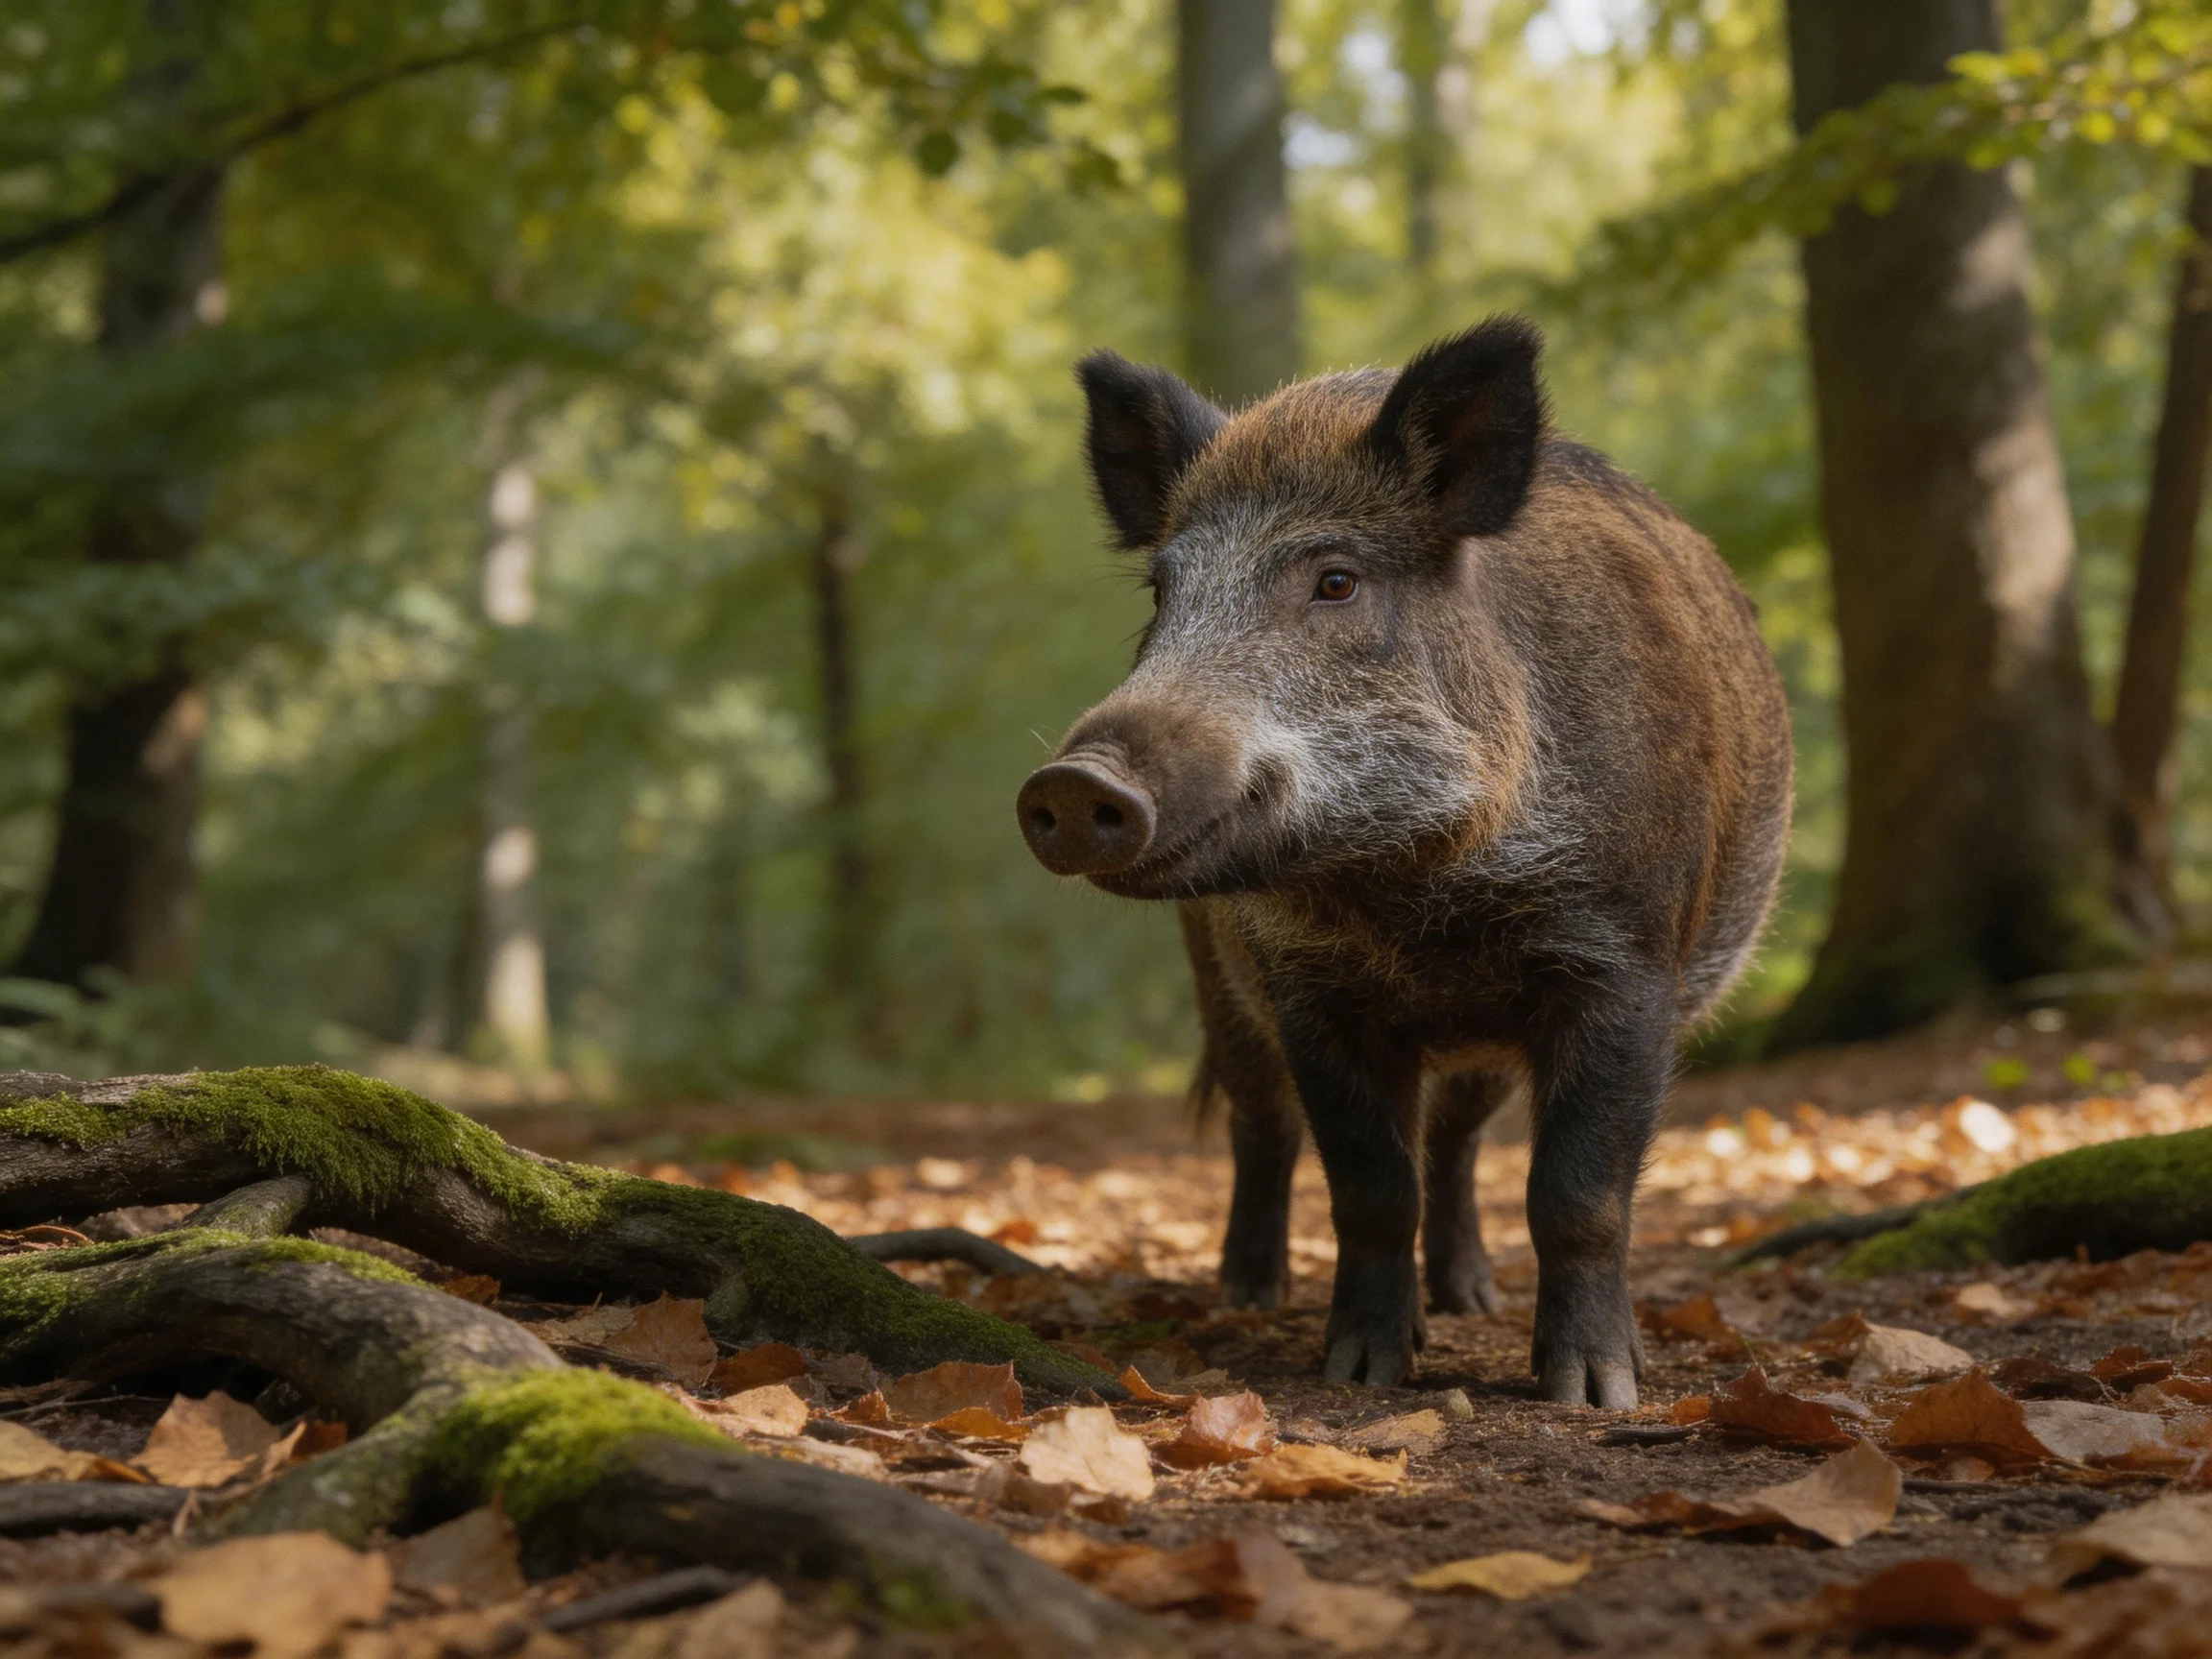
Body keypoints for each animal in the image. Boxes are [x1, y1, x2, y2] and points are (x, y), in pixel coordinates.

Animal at [1015, 318, 1792, 1406]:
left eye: (1336, 580)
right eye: (1161, 591)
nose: (1071, 780)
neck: (1419, 899)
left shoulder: (1630, 965)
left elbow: (1576, 1194)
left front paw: (1591, 1394)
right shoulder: (1305, 987)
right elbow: (1370, 1187)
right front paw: (1360, 1374)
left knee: (1455, 1144)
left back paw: (1470, 1300)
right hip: (1215, 975)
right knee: (1263, 1124)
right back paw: (1246, 1296)